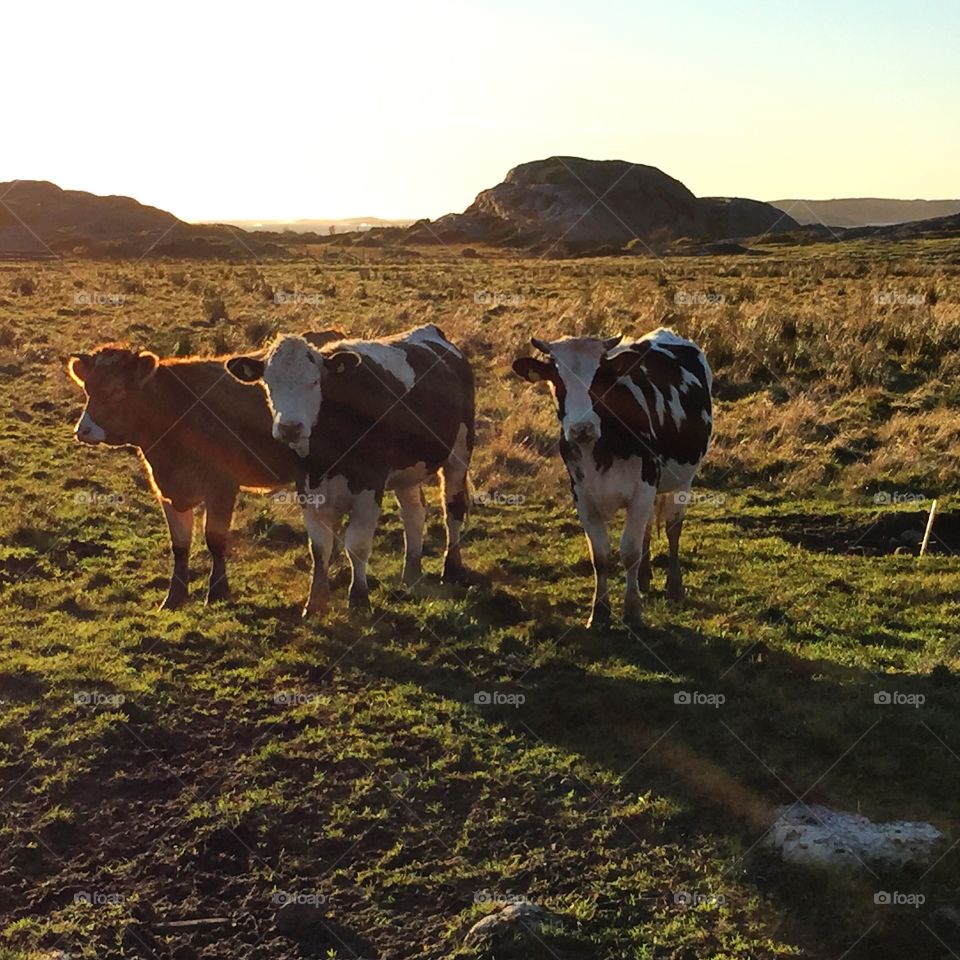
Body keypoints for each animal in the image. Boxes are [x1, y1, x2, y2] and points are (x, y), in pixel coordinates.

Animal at [63, 334, 344, 612]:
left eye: (117, 391)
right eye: (88, 390)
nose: (83, 430)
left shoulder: (222, 488)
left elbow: (215, 540)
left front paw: (217, 591)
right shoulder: (169, 491)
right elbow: (179, 545)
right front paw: (174, 596)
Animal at [229, 322, 476, 620]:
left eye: (315, 382)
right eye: (269, 383)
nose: (290, 428)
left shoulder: (370, 486)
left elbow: (356, 545)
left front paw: (358, 600)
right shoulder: (307, 489)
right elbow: (320, 548)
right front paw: (315, 603)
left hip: (459, 453)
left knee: (453, 509)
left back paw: (451, 568)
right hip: (407, 472)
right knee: (414, 514)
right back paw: (411, 573)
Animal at [510, 326, 712, 632]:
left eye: (599, 379)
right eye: (557, 381)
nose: (581, 428)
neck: (602, 447)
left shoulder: (642, 490)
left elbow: (629, 552)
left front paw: (632, 612)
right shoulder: (584, 497)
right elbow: (601, 556)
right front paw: (600, 612)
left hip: (683, 479)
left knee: (672, 526)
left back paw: (674, 587)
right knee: (649, 526)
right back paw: (644, 577)